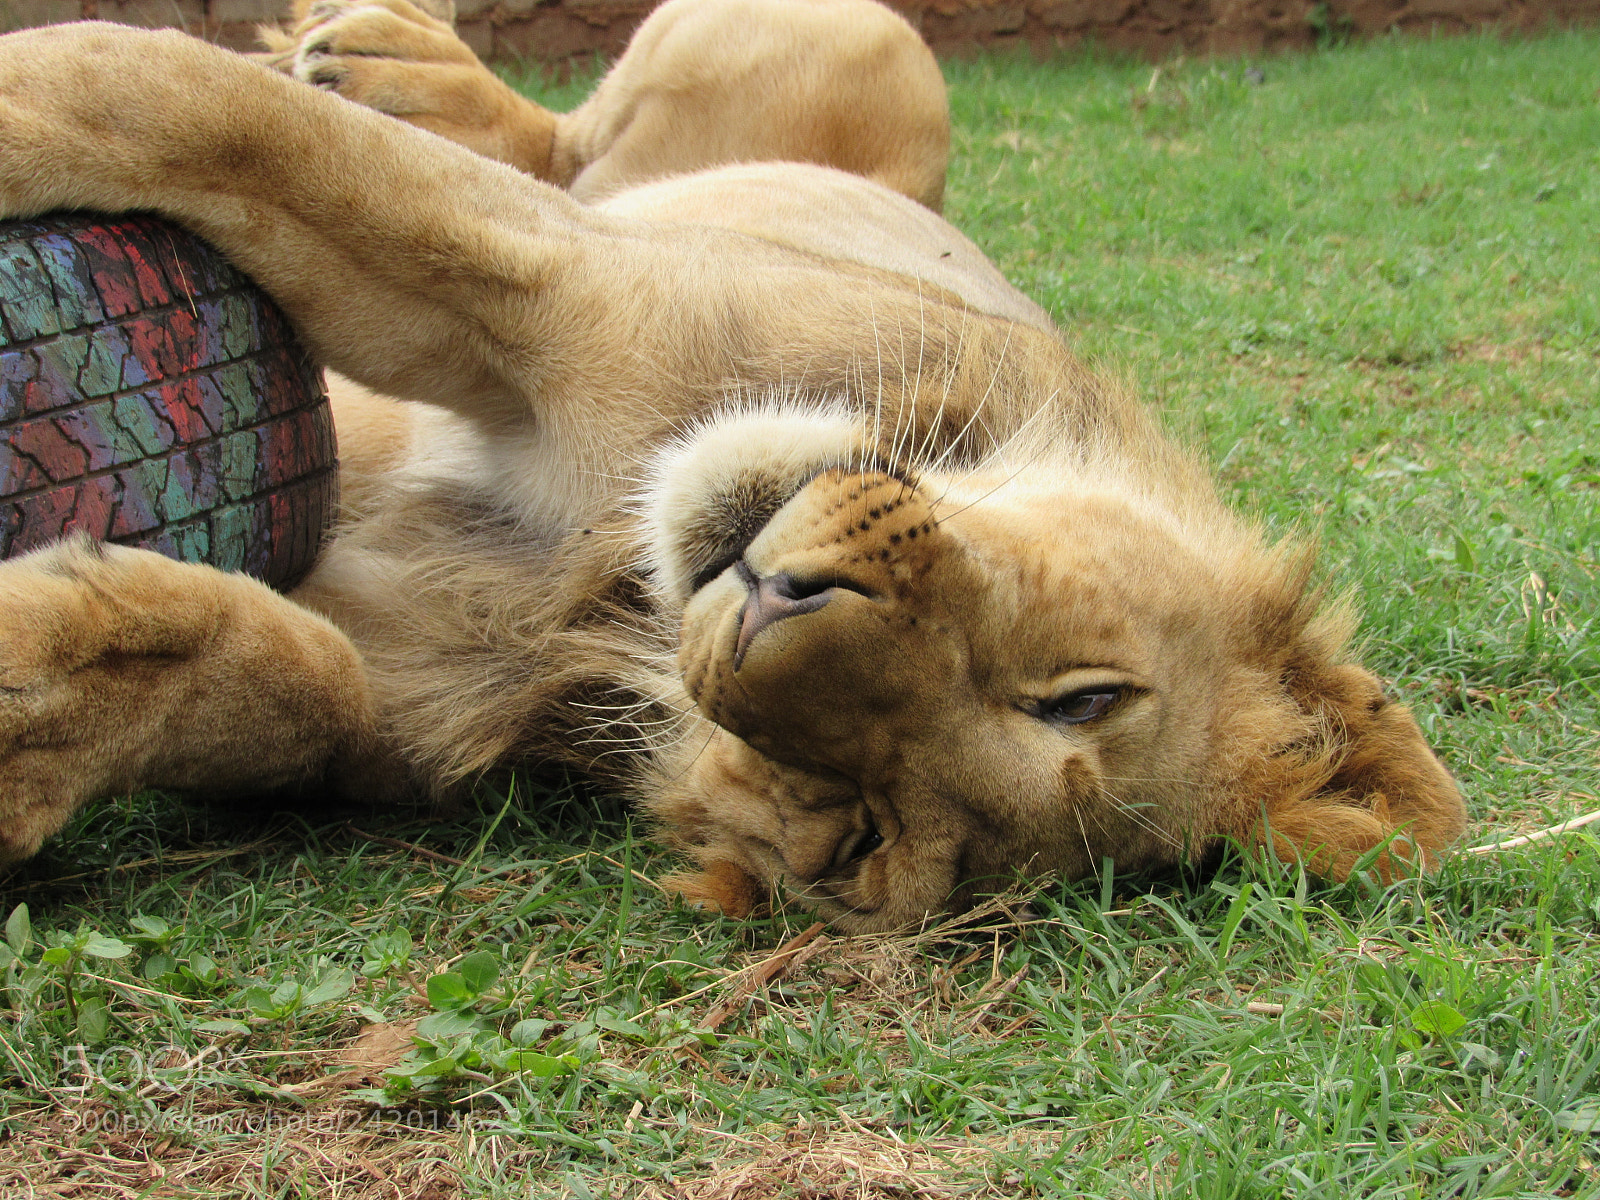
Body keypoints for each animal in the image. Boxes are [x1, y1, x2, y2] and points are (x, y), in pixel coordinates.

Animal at [0, 4, 1466, 933]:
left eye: (858, 826)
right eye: (1082, 699)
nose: (777, 602)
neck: (611, 569)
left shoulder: (410, 697)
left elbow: (291, 678)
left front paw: (35, 701)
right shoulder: (553, 281)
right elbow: (197, 112)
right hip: (868, 44)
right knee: (558, 135)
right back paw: (385, 57)